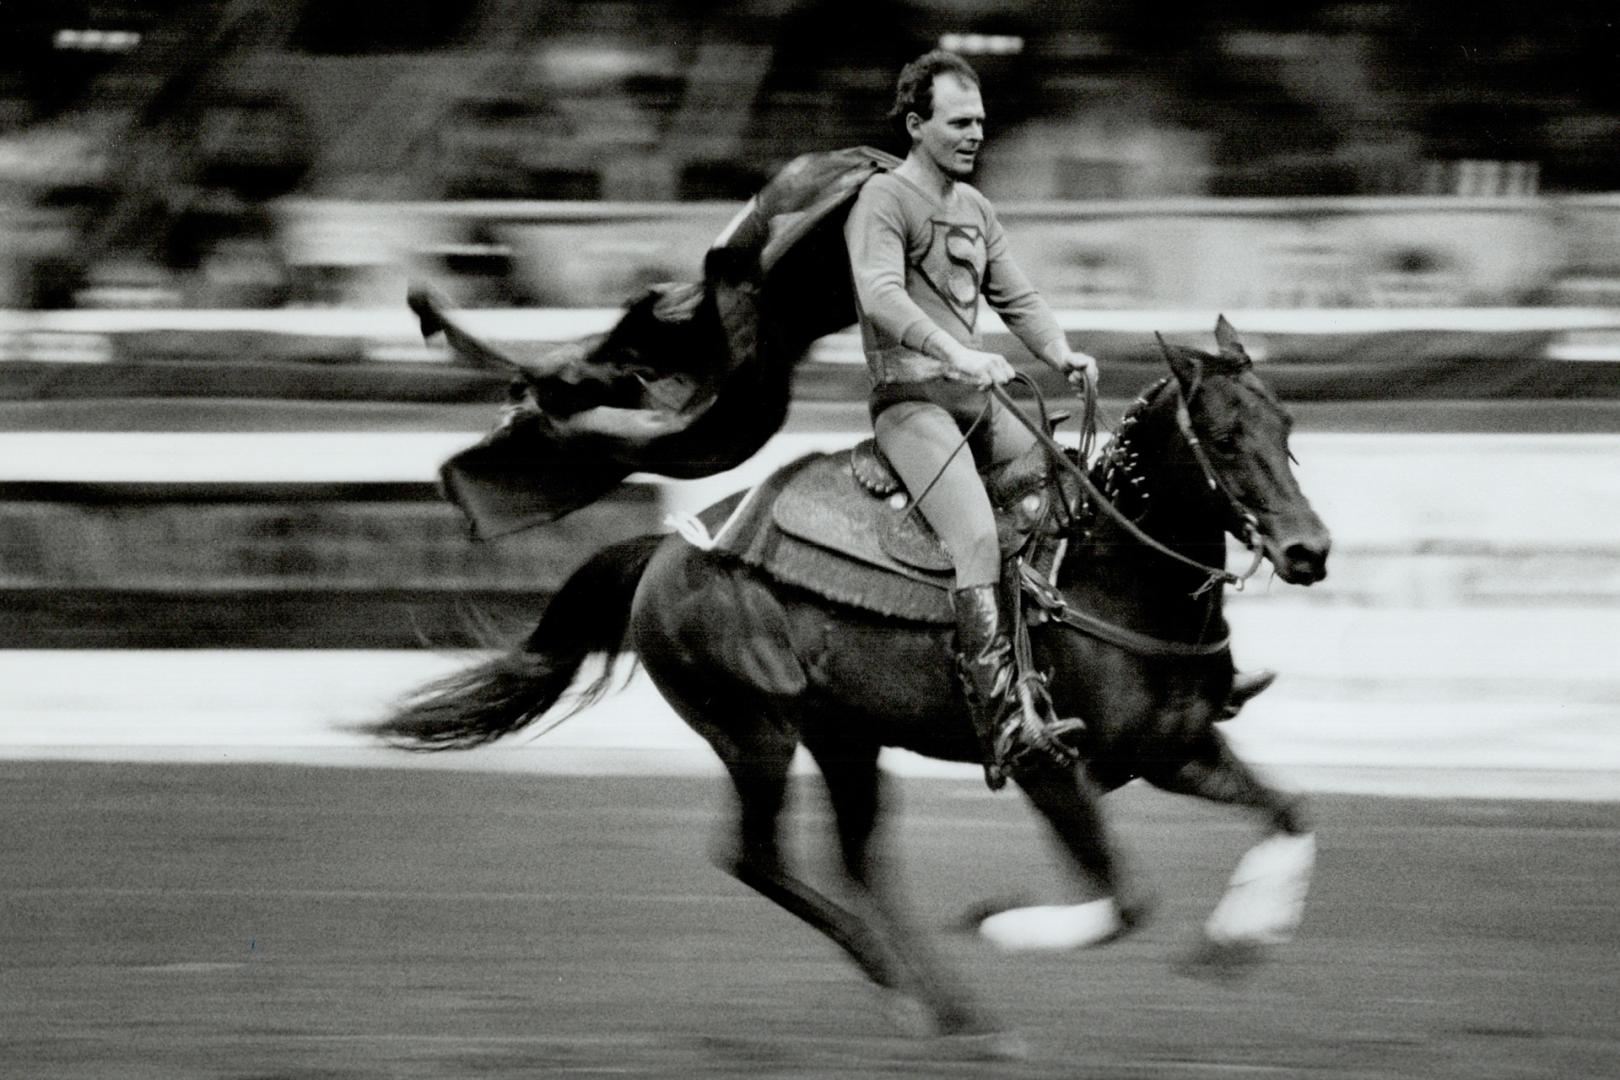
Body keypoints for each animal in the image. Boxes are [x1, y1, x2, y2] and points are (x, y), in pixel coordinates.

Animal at [367, 318, 1328, 1049]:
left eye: (1287, 428)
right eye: (1225, 439)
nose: (1309, 552)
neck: (1106, 571)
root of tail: (668, 549)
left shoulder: (1178, 748)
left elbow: (1288, 813)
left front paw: (1240, 940)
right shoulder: (1049, 767)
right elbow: (1125, 900)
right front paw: (998, 924)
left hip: (846, 737)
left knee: (856, 856)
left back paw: (944, 1006)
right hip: (754, 730)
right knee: (755, 856)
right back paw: (911, 989)